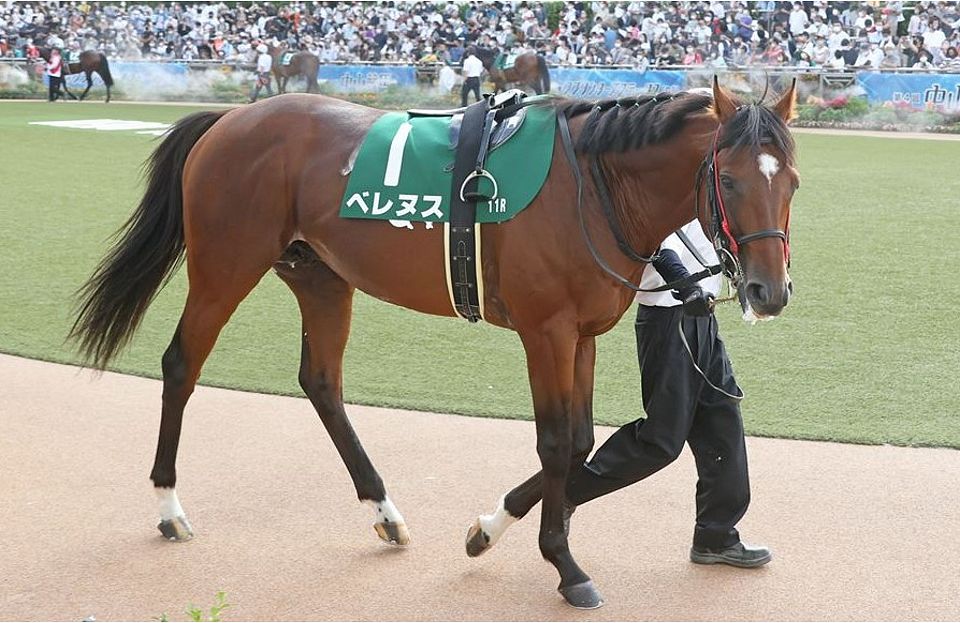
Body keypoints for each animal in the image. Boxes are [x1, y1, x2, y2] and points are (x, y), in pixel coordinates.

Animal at [69, 78, 798, 609]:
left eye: (791, 182)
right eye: (731, 180)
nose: (769, 291)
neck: (592, 187)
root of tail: (231, 119)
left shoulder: (583, 335)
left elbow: (580, 441)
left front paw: (490, 528)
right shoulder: (546, 331)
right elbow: (556, 442)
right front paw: (563, 564)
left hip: (320, 275)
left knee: (321, 382)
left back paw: (385, 510)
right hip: (225, 266)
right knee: (182, 364)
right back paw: (169, 507)